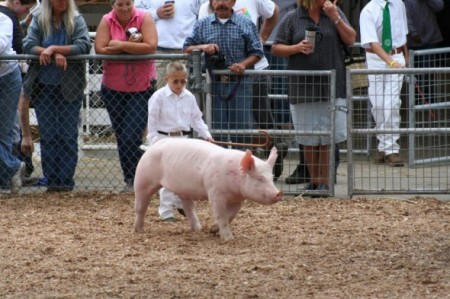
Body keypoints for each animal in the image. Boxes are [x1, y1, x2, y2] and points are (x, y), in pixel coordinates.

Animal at [132, 138, 284, 241]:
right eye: (260, 178)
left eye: (271, 177)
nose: (279, 193)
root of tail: (151, 147)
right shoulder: (215, 194)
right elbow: (222, 216)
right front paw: (229, 239)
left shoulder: (238, 199)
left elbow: (231, 215)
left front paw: (212, 230)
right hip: (143, 179)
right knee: (140, 207)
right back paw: (138, 230)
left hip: (183, 190)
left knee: (189, 207)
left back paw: (198, 229)